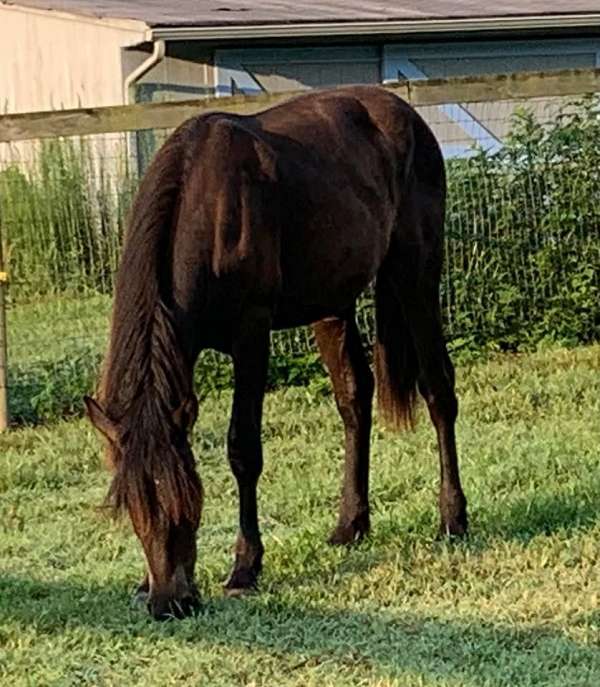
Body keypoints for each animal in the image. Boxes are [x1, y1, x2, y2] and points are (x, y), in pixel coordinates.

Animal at [85, 84, 468, 620]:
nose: (170, 601)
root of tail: (407, 114)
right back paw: (350, 524)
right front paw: (143, 580)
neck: (206, 207)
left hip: (416, 274)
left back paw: (452, 519)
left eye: (188, 501)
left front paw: (245, 566)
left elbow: (243, 449)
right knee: (355, 397)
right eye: (134, 506)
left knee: (438, 390)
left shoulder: (252, 333)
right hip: (331, 302)